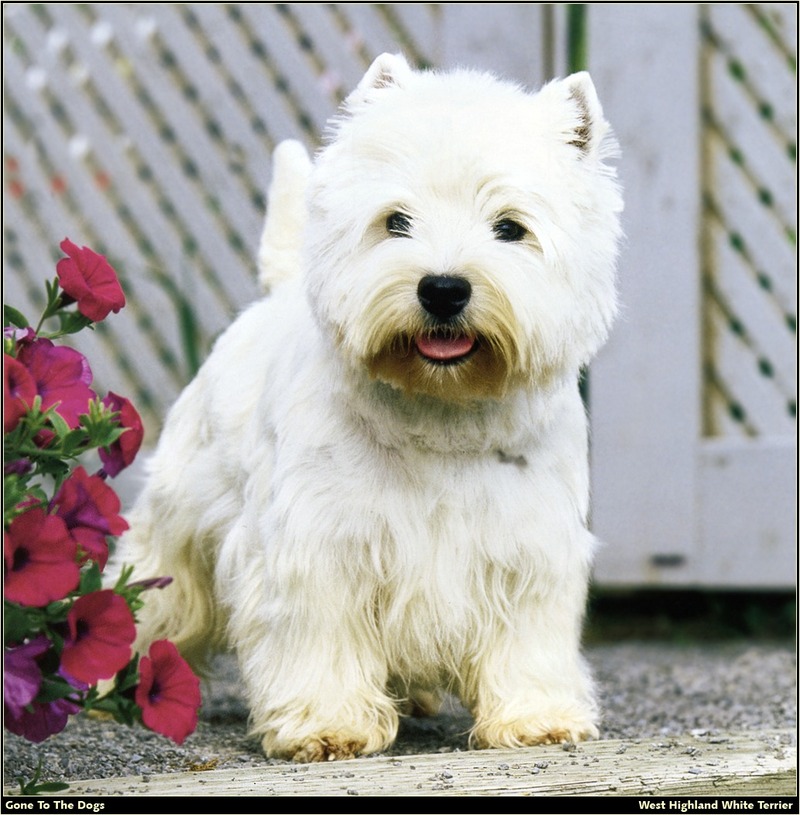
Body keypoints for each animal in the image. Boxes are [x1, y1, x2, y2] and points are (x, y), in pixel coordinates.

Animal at [122, 54, 620, 760]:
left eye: (510, 228)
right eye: (395, 221)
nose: (443, 288)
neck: (441, 411)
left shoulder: (531, 550)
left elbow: (527, 639)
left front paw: (536, 717)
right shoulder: (317, 548)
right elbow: (320, 636)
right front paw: (327, 725)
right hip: (181, 514)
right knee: (154, 583)